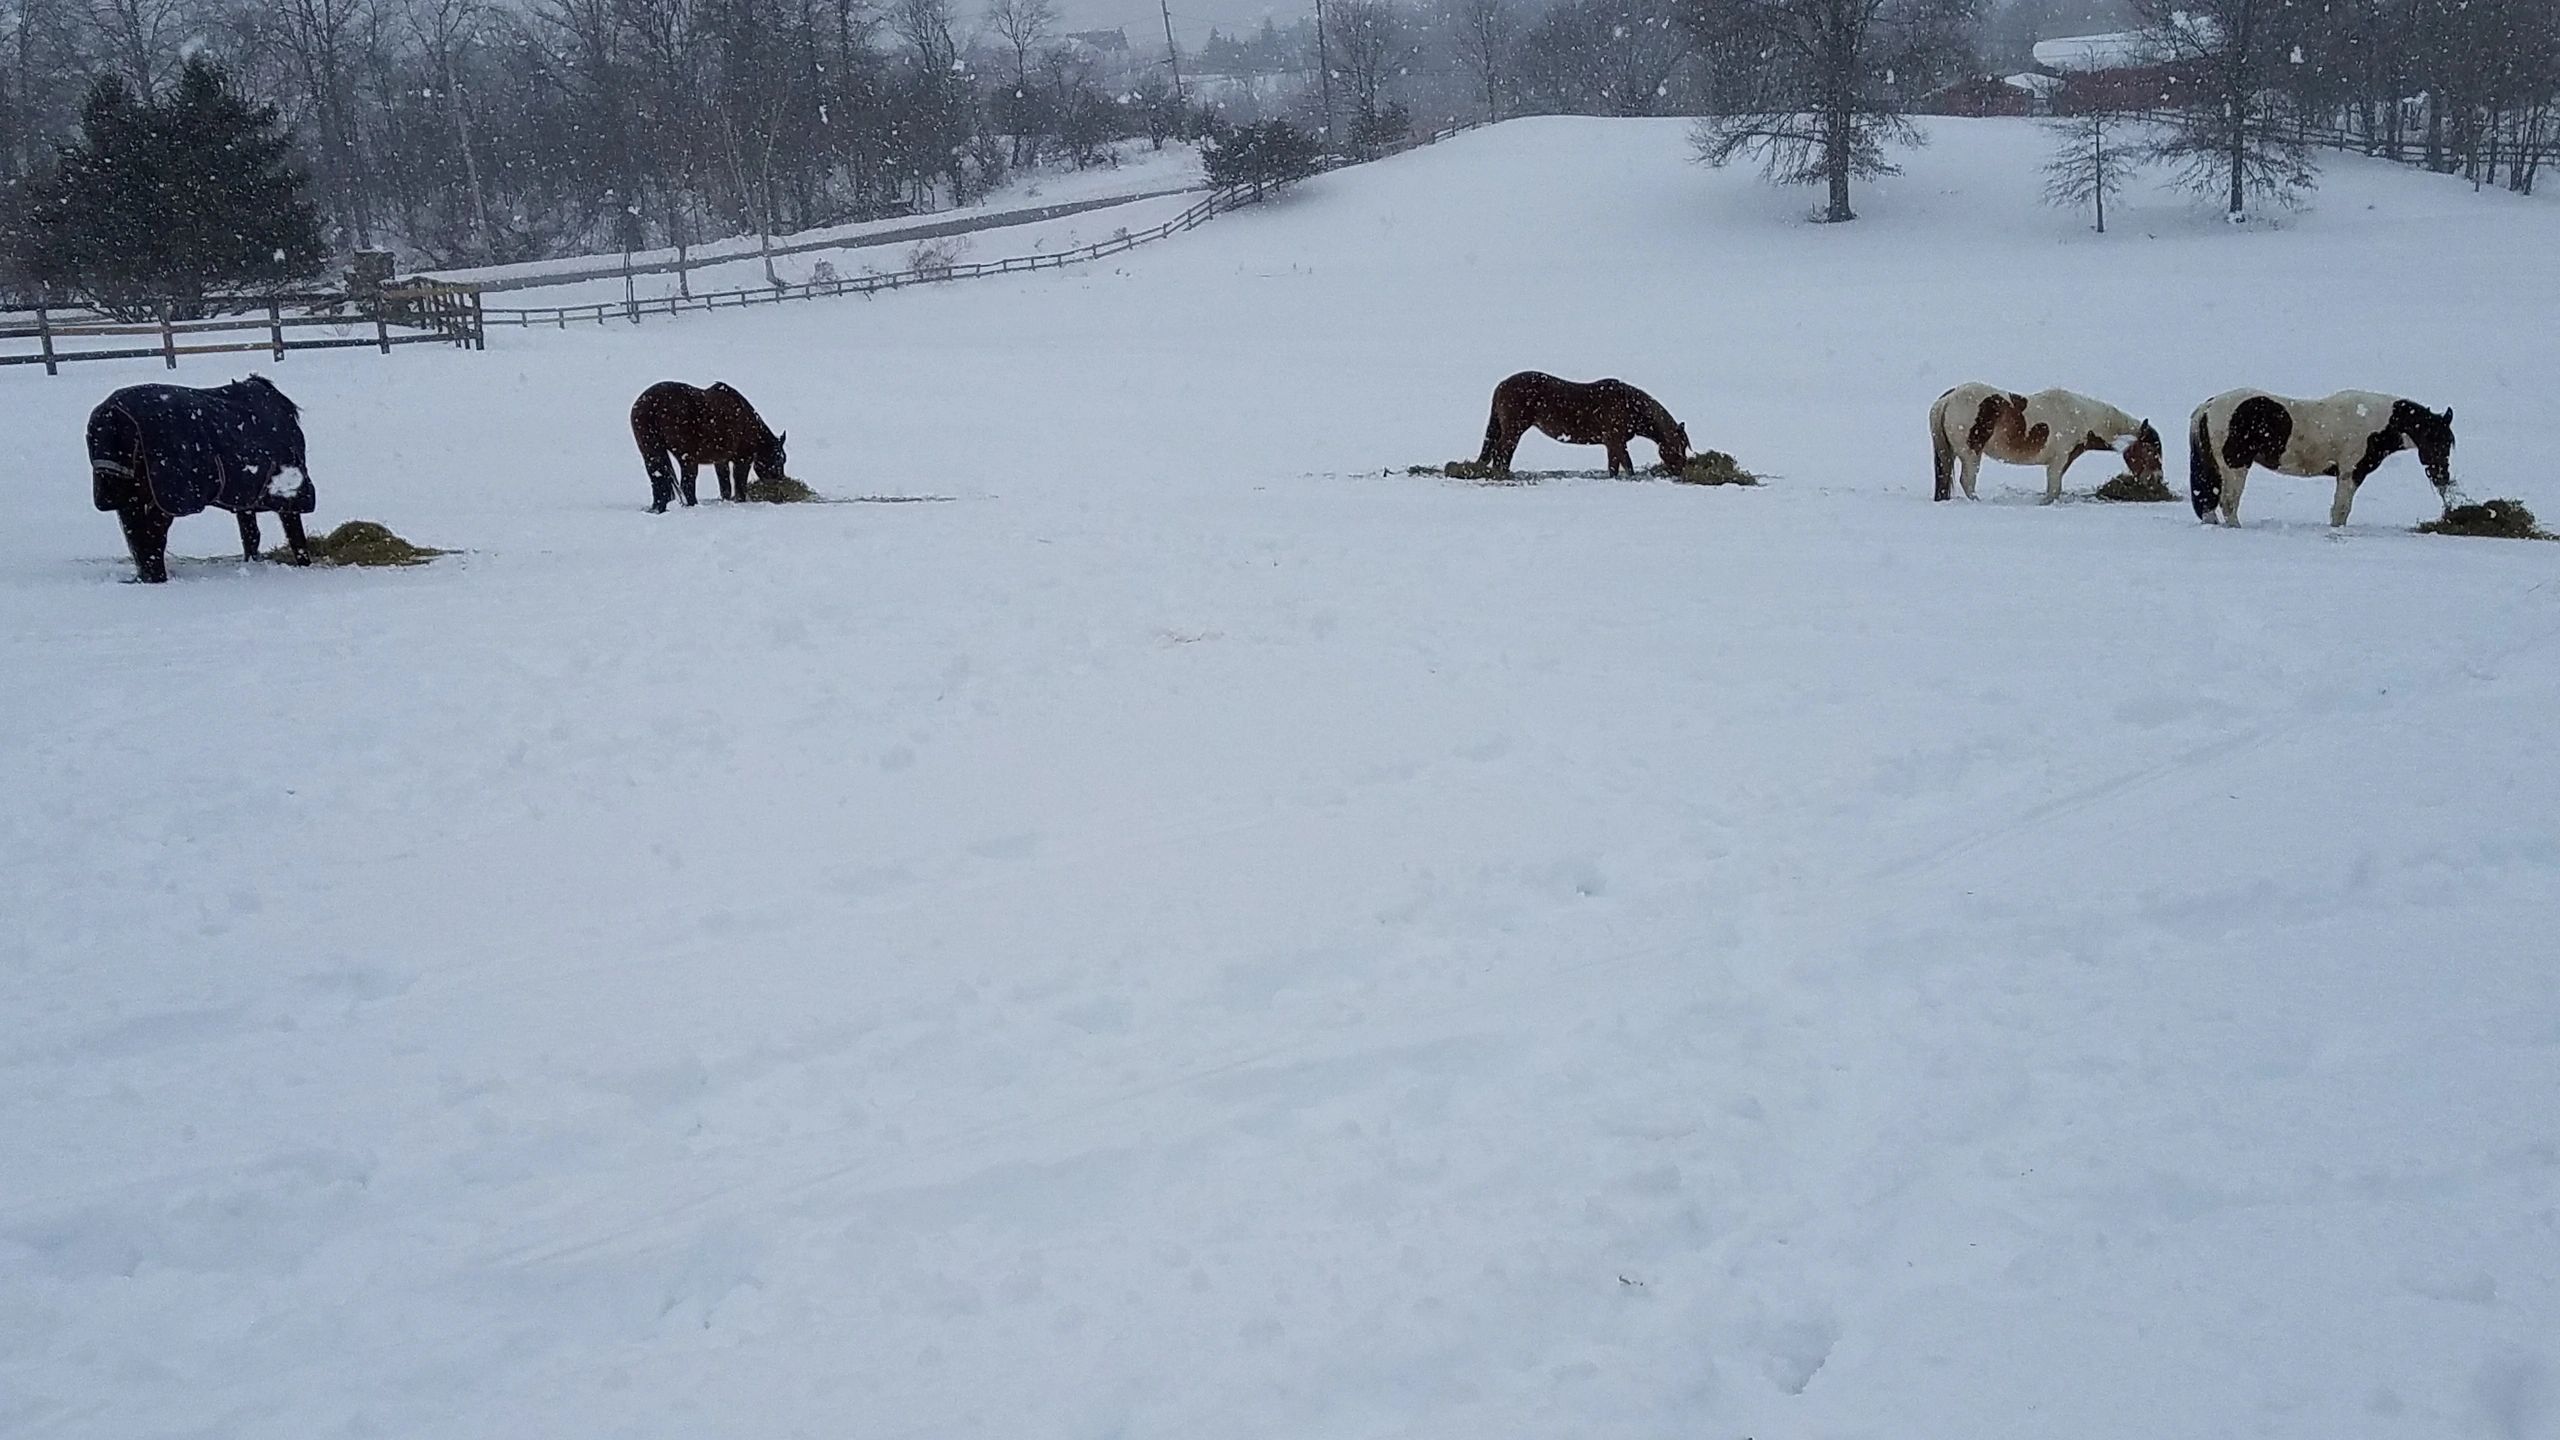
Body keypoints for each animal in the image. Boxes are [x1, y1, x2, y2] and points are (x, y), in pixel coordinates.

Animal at [86, 375, 315, 584]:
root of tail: (114, 414)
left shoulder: (244, 498)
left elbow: (250, 535)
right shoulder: (289, 494)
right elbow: (295, 536)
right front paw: (305, 566)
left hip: (128, 497)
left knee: (139, 538)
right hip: (164, 500)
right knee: (152, 539)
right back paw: (158, 578)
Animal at [629, 380, 791, 512]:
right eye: (779, 460)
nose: (781, 481)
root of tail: (651, 405)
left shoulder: (720, 461)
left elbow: (725, 486)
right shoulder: (742, 460)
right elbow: (739, 484)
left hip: (651, 453)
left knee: (657, 480)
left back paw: (658, 508)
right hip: (687, 459)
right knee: (687, 484)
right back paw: (692, 505)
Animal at [1477, 371, 1691, 477]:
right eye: (1679, 447)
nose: (1682, 470)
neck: (1630, 405)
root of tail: (1501, 385)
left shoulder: (1612, 444)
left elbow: (1614, 467)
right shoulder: (1617, 441)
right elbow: (1628, 465)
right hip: (1514, 429)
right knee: (1501, 450)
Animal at [1929, 383, 2163, 503]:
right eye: (2151, 449)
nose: (2157, 479)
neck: (2082, 418)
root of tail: (1947, 399)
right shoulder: (2058, 461)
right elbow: (2053, 490)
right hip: (1971, 455)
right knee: (1967, 482)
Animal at [2188, 389, 2455, 527]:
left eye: (2448, 443)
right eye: (2437, 441)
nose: (2443, 478)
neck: (2375, 422)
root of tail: (2207, 407)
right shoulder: (2350, 473)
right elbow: (2341, 510)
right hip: (2235, 467)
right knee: (2228, 503)